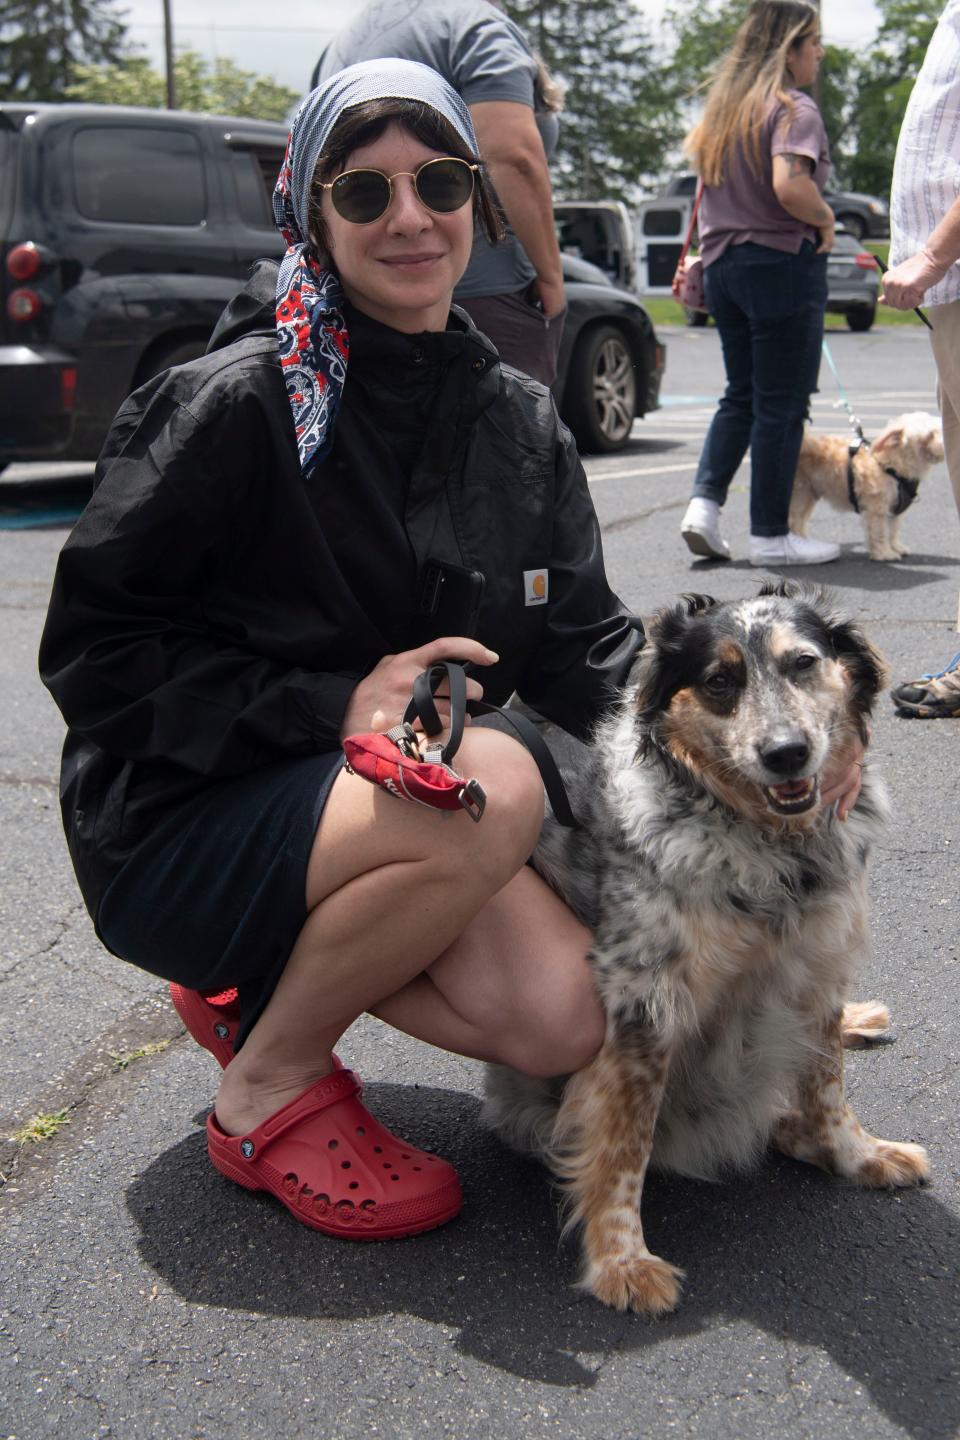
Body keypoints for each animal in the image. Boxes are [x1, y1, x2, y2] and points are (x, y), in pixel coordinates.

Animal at [788, 411, 944, 561]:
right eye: (930, 434)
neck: (892, 466)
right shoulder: (877, 509)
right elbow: (879, 532)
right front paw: (884, 553)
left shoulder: (894, 509)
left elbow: (892, 531)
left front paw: (896, 547)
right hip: (800, 494)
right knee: (795, 521)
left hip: (809, 495)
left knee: (798, 522)